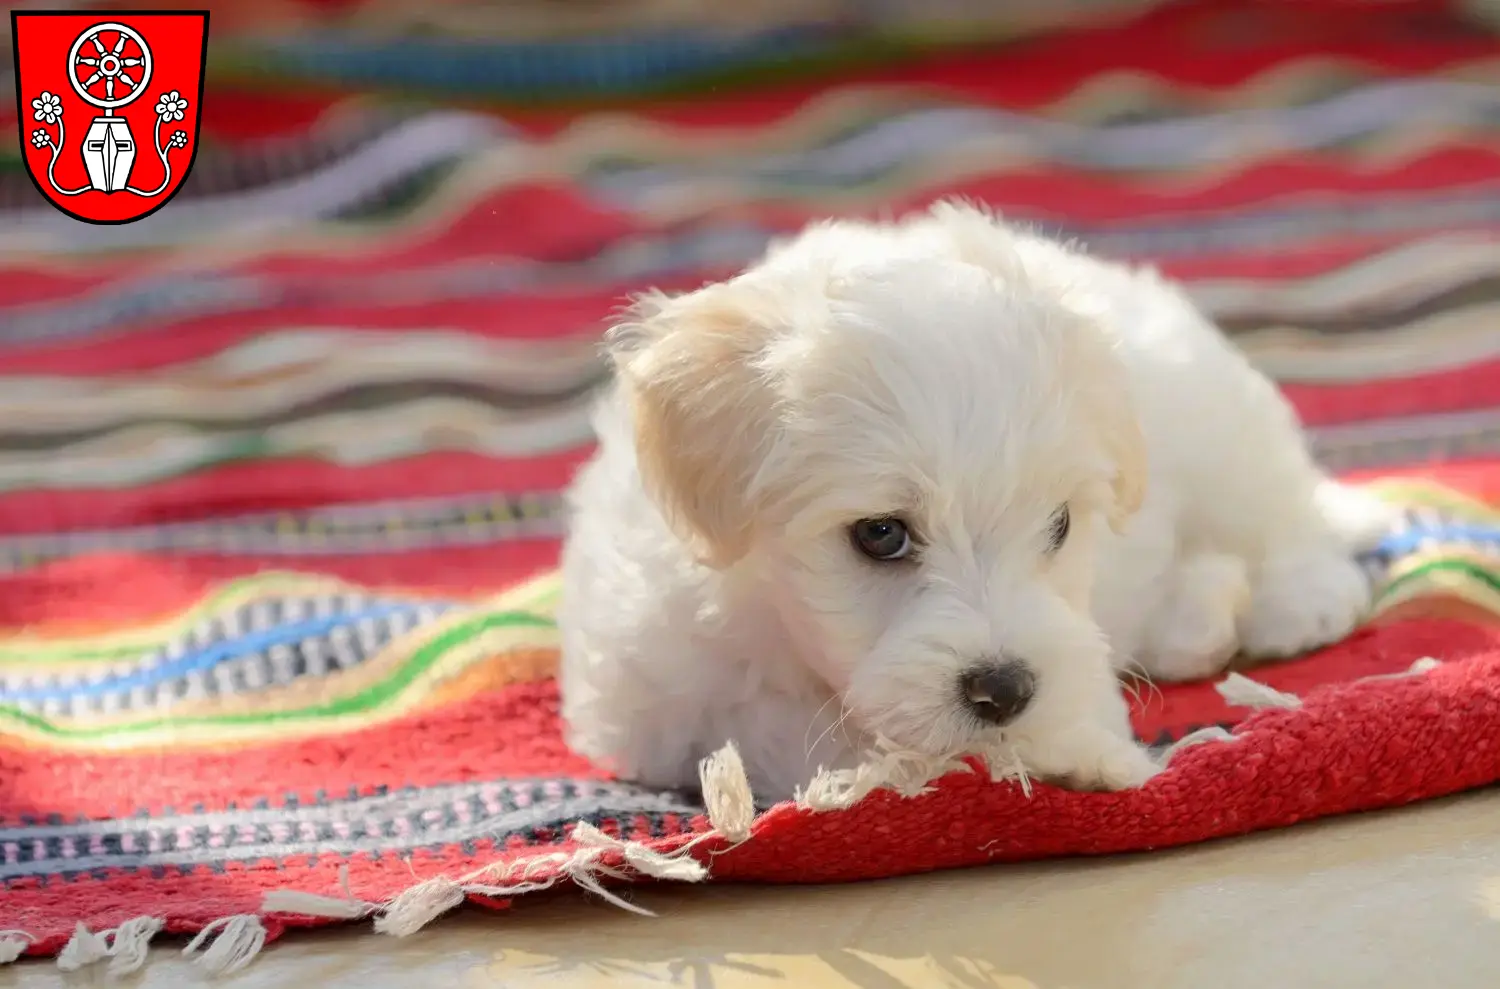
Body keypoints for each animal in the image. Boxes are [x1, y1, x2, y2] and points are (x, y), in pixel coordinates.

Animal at [558, 205, 1386, 798]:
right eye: (880, 533)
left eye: (1060, 524)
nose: (1006, 689)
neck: (773, 622)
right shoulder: (649, 703)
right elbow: (781, 728)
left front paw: (1083, 751)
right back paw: (1198, 614)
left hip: (1219, 432)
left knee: (1285, 514)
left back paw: (1294, 601)